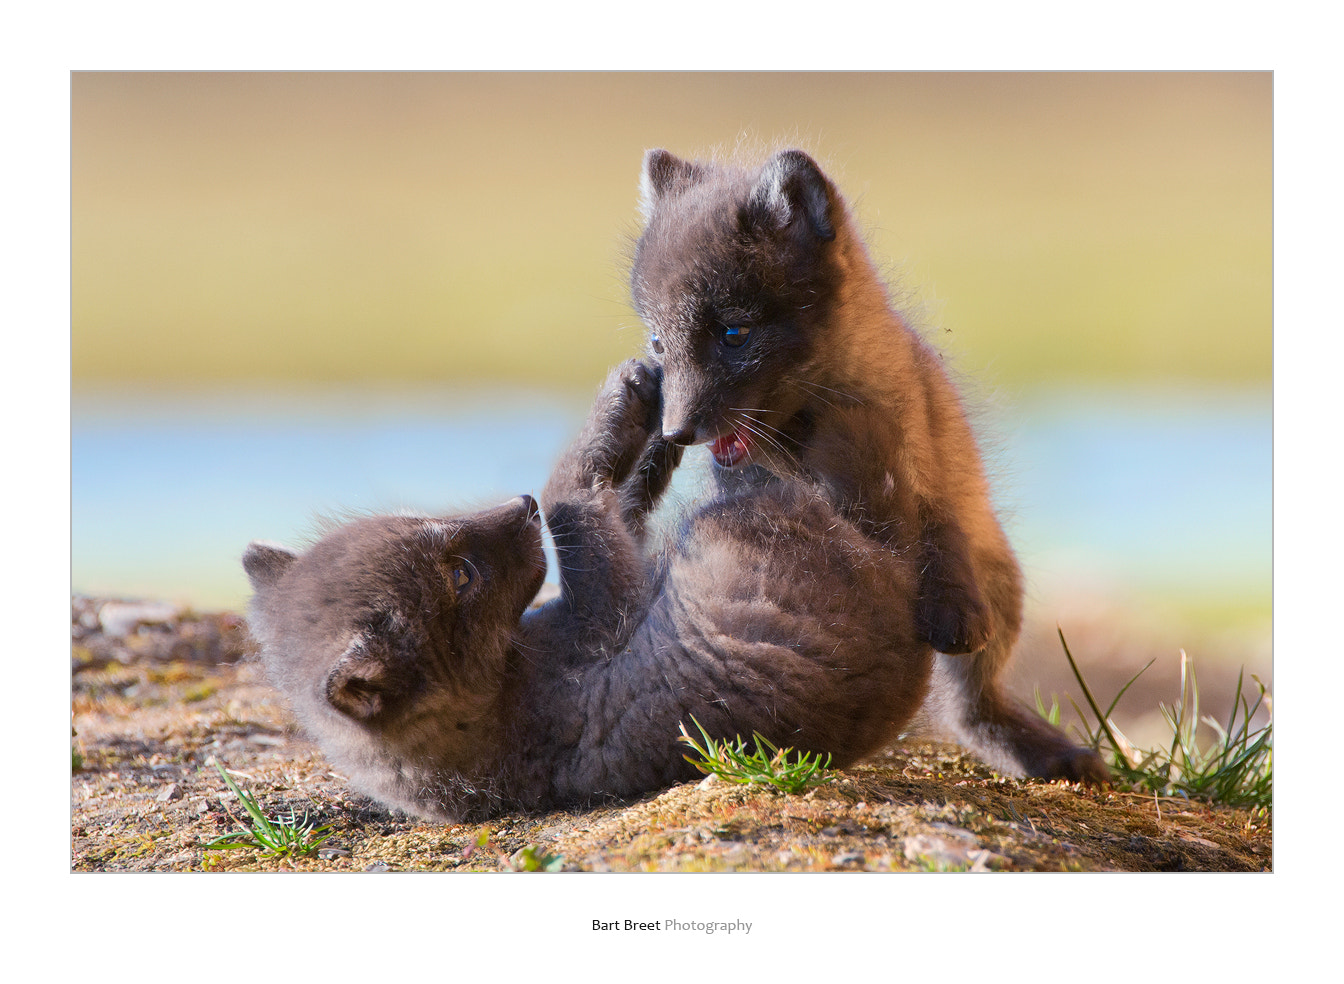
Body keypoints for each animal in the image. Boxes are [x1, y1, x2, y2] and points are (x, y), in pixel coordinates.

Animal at [629, 146, 1108, 783]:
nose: (676, 432)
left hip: (1004, 586)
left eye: (734, 333)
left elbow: (939, 534)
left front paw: (952, 610)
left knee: (971, 703)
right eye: (659, 344)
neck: (811, 418)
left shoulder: (924, 460)